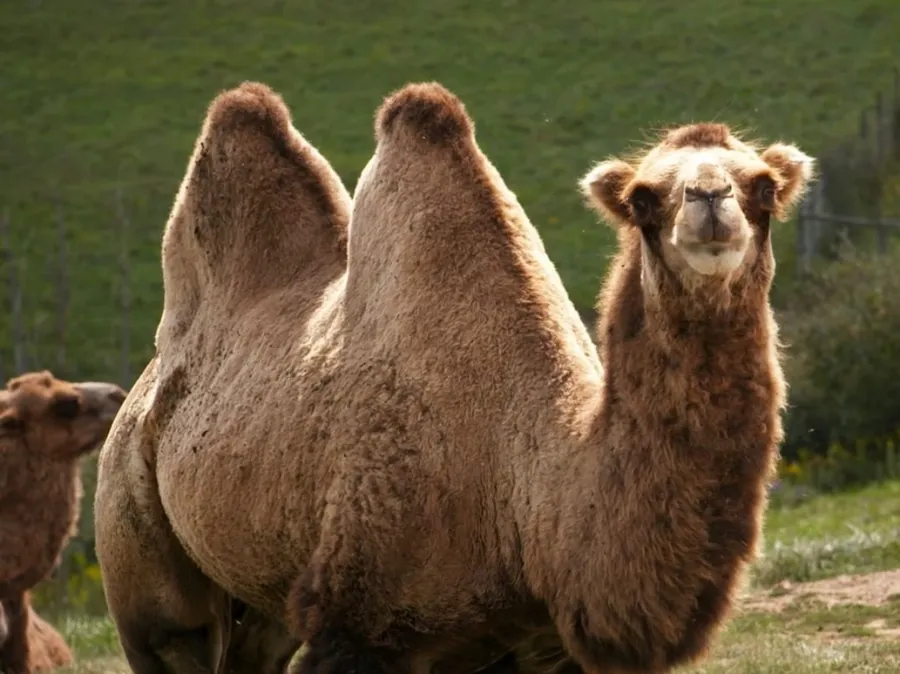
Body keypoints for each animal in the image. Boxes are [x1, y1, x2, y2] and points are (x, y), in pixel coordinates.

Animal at [93, 80, 813, 674]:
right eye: (642, 198)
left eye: (764, 187)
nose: (710, 201)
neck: (522, 495)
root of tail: (138, 399)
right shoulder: (358, 627)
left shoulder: (541, 644)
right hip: (139, 561)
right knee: (171, 633)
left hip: (262, 587)